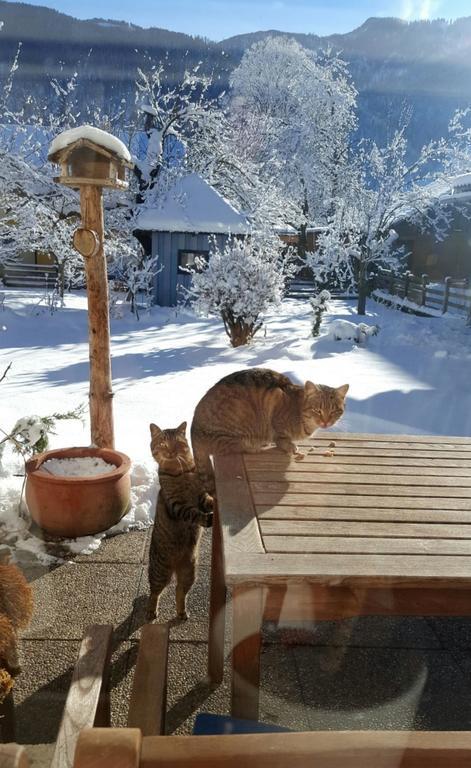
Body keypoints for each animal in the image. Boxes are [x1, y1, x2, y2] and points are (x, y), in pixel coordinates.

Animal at [148, 420, 214, 624]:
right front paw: (205, 518)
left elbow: (207, 501)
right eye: (162, 444)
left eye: (177, 443)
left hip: (190, 572)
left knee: (179, 591)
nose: (170, 452)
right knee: (154, 592)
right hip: (160, 572)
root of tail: (176, 568)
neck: (181, 472)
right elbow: (192, 513)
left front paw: (213, 505)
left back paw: (182, 612)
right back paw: (151, 611)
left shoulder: (201, 495)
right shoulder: (176, 505)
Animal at [190, 372, 348, 492]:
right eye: (317, 410)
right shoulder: (276, 405)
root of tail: (193, 430)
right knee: (228, 446)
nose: (325, 422)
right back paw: (253, 447)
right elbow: (281, 437)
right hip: (232, 426)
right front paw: (289, 445)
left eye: (334, 411)